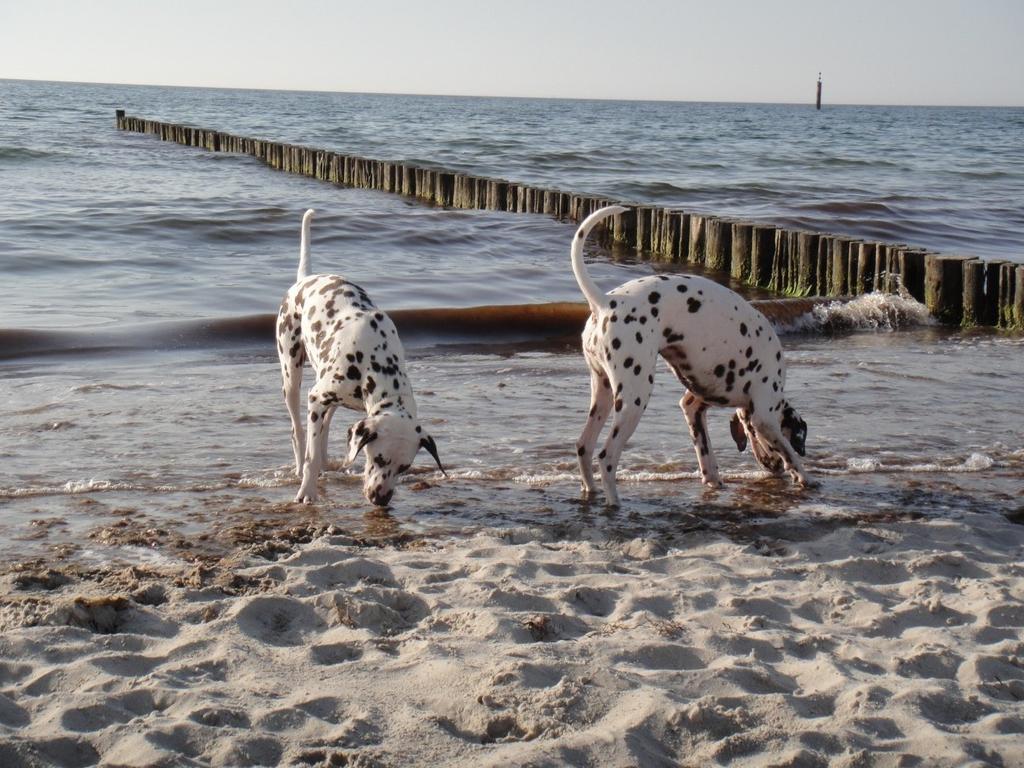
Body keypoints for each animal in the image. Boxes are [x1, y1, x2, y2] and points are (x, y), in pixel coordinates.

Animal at [276, 208, 444, 505]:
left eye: (404, 467)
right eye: (378, 458)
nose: (381, 499)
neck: (375, 361)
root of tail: (304, 280)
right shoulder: (316, 397)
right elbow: (310, 455)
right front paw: (308, 491)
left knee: (322, 428)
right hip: (292, 376)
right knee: (299, 431)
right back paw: (300, 466)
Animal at [569, 205, 806, 505]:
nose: (774, 469)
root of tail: (604, 302)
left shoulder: (693, 406)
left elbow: (706, 455)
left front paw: (714, 481)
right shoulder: (764, 414)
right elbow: (790, 452)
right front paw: (802, 475)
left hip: (602, 394)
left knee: (584, 447)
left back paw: (591, 490)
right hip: (634, 399)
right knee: (606, 457)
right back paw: (615, 502)